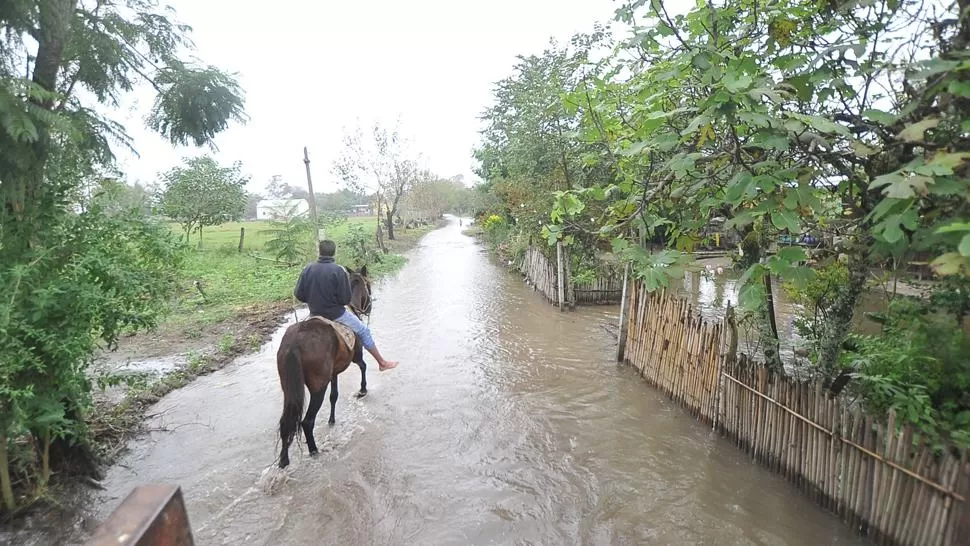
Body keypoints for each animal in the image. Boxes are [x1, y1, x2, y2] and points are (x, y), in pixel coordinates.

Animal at [280, 264, 374, 468]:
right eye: (369, 284)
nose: (369, 307)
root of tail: (294, 344)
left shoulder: (333, 372)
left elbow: (334, 395)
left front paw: (332, 420)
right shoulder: (356, 356)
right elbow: (363, 366)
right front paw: (363, 390)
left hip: (289, 388)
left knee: (286, 421)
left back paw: (283, 460)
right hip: (318, 387)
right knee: (307, 422)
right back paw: (314, 451)